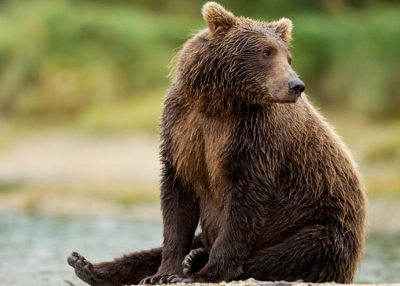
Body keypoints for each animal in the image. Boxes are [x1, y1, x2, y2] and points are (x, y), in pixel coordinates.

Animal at [68, 1, 366, 284]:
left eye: (288, 57)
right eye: (266, 52)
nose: (296, 85)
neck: (220, 103)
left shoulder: (255, 138)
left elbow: (244, 204)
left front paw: (201, 273)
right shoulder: (182, 130)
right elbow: (177, 204)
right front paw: (163, 271)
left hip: (323, 223)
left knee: (296, 252)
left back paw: (196, 261)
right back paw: (88, 266)